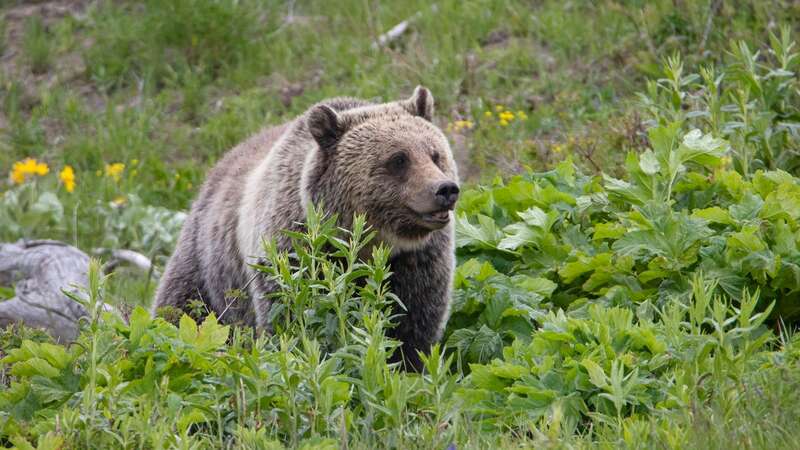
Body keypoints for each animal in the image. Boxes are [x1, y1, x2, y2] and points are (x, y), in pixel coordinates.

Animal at [152, 86, 460, 370]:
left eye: (435, 154)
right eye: (398, 159)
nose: (445, 189)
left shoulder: (415, 261)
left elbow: (412, 323)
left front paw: (407, 365)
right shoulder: (293, 252)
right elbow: (293, 316)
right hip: (208, 264)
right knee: (182, 309)